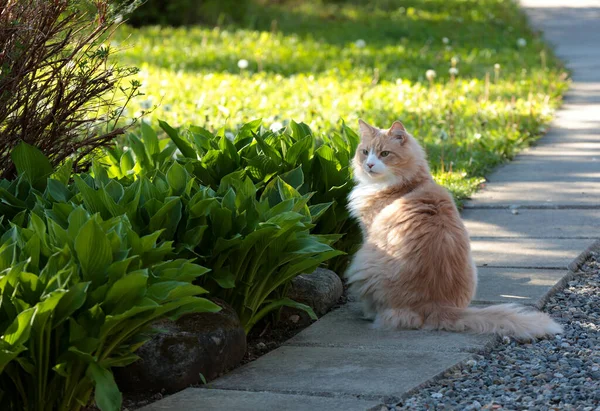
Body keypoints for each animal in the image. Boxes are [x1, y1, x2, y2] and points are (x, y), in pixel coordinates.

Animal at [346, 120, 564, 342]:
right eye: (365, 152)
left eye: (384, 154)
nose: (369, 164)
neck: (408, 184)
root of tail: (435, 305)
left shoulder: (368, 230)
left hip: (363, 259)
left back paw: (368, 313)